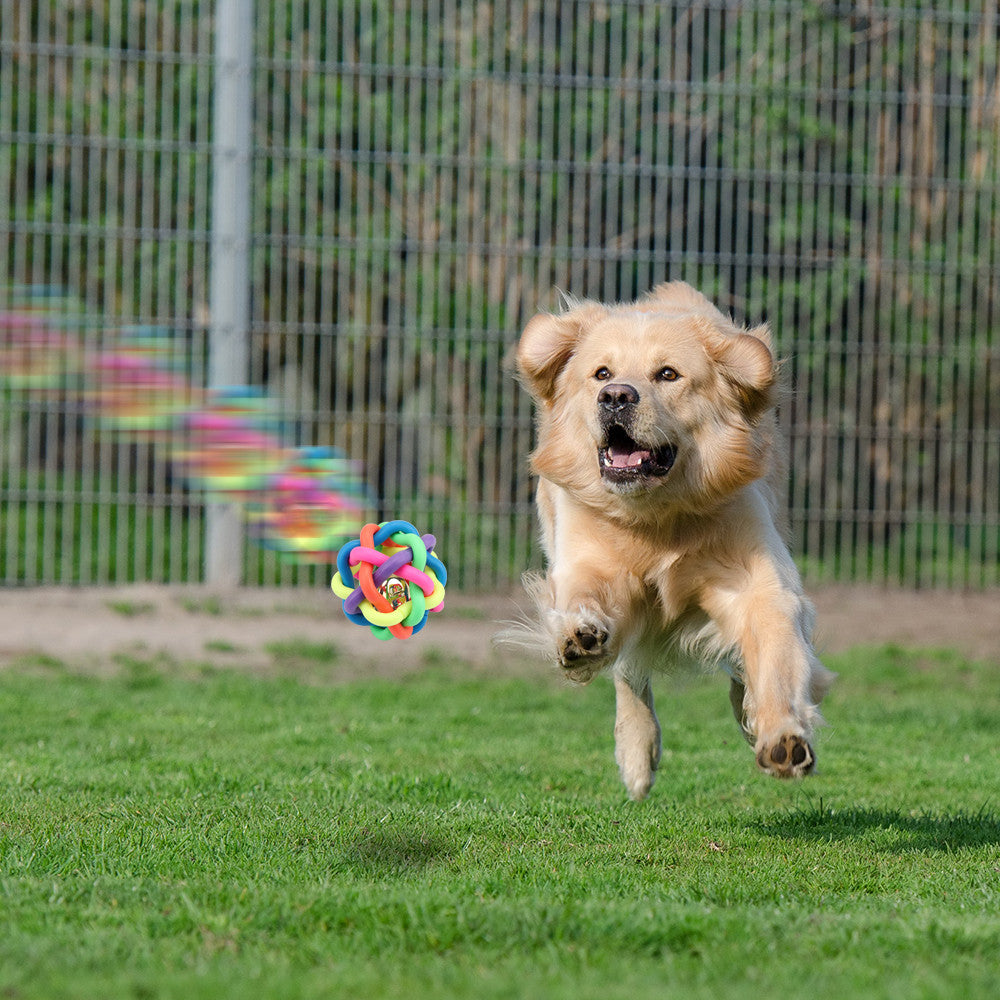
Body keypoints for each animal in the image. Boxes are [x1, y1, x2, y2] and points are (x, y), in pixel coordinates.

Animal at [512, 280, 832, 796]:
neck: (656, 518)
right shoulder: (584, 558)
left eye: (668, 374)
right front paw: (578, 638)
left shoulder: (760, 582)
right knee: (628, 671)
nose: (615, 396)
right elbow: (587, 604)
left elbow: (776, 654)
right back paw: (636, 754)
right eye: (601, 373)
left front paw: (783, 736)